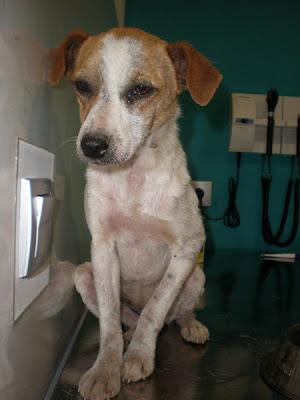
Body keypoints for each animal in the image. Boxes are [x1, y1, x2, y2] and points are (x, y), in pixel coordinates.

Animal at [48, 28, 220, 400]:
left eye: (140, 90)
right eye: (82, 85)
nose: (91, 146)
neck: (133, 177)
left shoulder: (187, 250)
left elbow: (155, 310)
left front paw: (139, 357)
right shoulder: (102, 249)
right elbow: (110, 322)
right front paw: (106, 369)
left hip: (196, 277)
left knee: (172, 315)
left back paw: (191, 326)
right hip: (83, 274)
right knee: (126, 319)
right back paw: (129, 333)